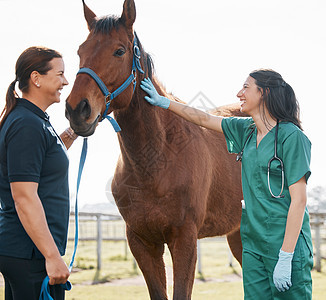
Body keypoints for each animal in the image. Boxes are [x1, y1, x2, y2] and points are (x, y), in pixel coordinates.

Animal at [66, 1, 243, 298]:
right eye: (80, 50)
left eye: (119, 50)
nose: (77, 110)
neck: (156, 162)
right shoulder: (142, 241)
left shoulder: (184, 239)